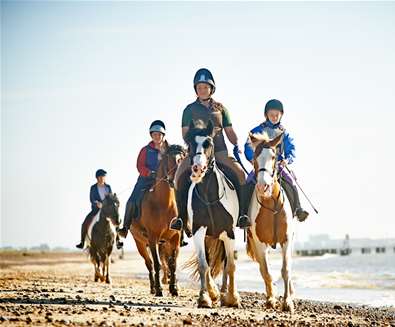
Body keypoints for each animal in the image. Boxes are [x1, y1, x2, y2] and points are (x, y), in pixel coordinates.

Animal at [130, 144, 186, 298]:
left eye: (182, 158)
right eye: (169, 159)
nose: (175, 179)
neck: (164, 204)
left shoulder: (175, 238)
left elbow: (172, 264)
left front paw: (174, 289)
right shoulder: (153, 238)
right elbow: (157, 264)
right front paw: (160, 289)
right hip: (140, 243)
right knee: (149, 263)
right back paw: (153, 288)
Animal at [183, 121, 241, 310]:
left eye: (208, 143)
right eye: (189, 144)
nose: (197, 169)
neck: (209, 197)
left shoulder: (229, 233)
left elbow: (230, 265)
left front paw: (232, 298)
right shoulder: (199, 231)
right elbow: (203, 265)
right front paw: (204, 297)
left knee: (225, 261)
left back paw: (223, 293)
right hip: (208, 237)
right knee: (209, 262)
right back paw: (215, 293)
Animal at [246, 134, 296, 316]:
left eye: (274, 156)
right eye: (254, 157)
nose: (263, 186)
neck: (271, 205)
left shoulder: (286, 240)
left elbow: (286, 269)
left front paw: (287, 302)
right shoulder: (259, 243)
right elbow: (266, 271)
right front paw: (271, 300)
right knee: (262, 268)